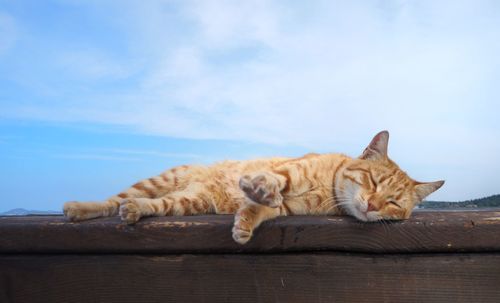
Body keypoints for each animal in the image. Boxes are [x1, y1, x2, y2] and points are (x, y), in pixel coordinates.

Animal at [64, 131, 444, 245]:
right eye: (372, 181)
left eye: (393, 203)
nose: (373, 205)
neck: (328, 188)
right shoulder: (287, 170)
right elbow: (270, 182)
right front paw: (257, 187)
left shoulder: (287, 208)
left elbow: (263, 209)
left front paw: (245, 222)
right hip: (163, 180)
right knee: (114, 199)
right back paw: (79, 208)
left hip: (187, 202)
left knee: (153, 205)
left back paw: (136, 211)